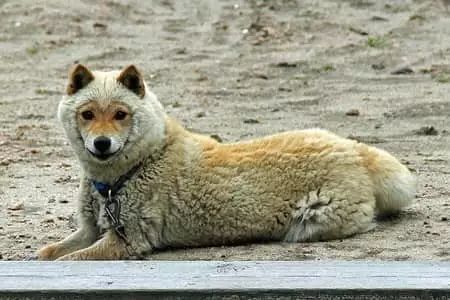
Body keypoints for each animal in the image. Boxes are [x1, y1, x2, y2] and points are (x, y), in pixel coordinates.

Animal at [37, 63, 416, 260]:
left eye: (120, 114)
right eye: (87, 114)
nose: (101, 144)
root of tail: (354, 148)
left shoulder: (127, 239)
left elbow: (68, 261)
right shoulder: (90, 230)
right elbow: (48, 253)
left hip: (313, 221)